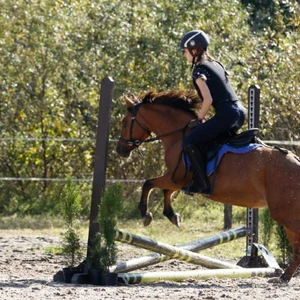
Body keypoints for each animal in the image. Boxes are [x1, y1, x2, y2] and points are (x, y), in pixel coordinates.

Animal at [116, 89, 300, 284]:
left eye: (124, 122)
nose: (120, 150)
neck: (177, 136)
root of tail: (296, 161)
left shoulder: (176, 178)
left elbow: (148, 183)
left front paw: (146, 214)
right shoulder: (180, 181)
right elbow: (164, 191)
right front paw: (172, 216)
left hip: (285, 214)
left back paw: (284, 277)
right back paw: (285, 277)